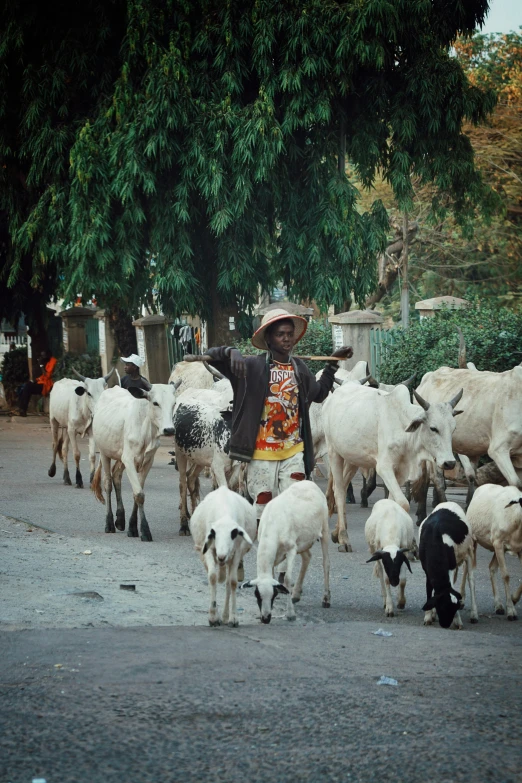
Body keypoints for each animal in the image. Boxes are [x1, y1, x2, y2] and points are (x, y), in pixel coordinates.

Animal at [90, 382, 178, 544]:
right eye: (155, 403)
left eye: (174, 403)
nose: (169, 429)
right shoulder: (129, 459)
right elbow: (139, 494)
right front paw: (145, 530)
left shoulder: (148, 461)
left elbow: (137, 493)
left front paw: (132, 527)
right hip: (105, 453)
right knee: (108, 483)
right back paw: (109, 523)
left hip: (120, 457)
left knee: (116, 476)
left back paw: (120, 519)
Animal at [190, 486, 256, 628]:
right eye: (213, 533)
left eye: (234, 533)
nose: (221, 556)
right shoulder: (209, 550)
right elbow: (212, 577)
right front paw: (213, 617)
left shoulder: (237, 552)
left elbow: (233, 582)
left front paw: (233, 617)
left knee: (227, 583)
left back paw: (225, 617)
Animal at [241, 484, 330, 624]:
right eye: (257, 595)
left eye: (274, 595)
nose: (265, 619)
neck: (272, 525)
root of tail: (310, 483)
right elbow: (273, 575)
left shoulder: (291, 549)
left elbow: (287, 580)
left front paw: (290, 614)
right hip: (303, 541)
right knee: (307, 557)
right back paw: (296, 594)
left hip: (324, 528)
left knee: (326, 563)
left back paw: (326, 598)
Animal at [322, 382, 462, 552]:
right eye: (433, 428)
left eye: (453, 429)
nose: (450, 463)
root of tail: (333, 395)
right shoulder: (384, 467)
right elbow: (403, 503)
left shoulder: (401, 472)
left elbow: (392, 503)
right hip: (333, 452)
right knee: (339, 493)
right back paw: (343, 537)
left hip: (352, 459)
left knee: (340, 486)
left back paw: (336, 532)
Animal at [462, 480, 520, 620]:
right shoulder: (499, 543)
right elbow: (506, 575)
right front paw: (511, 610)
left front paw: (514, 599)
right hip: (474, 540)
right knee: (466, 568)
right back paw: (461, 599)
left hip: (496, 547)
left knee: (492, 567)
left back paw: (498, 605)